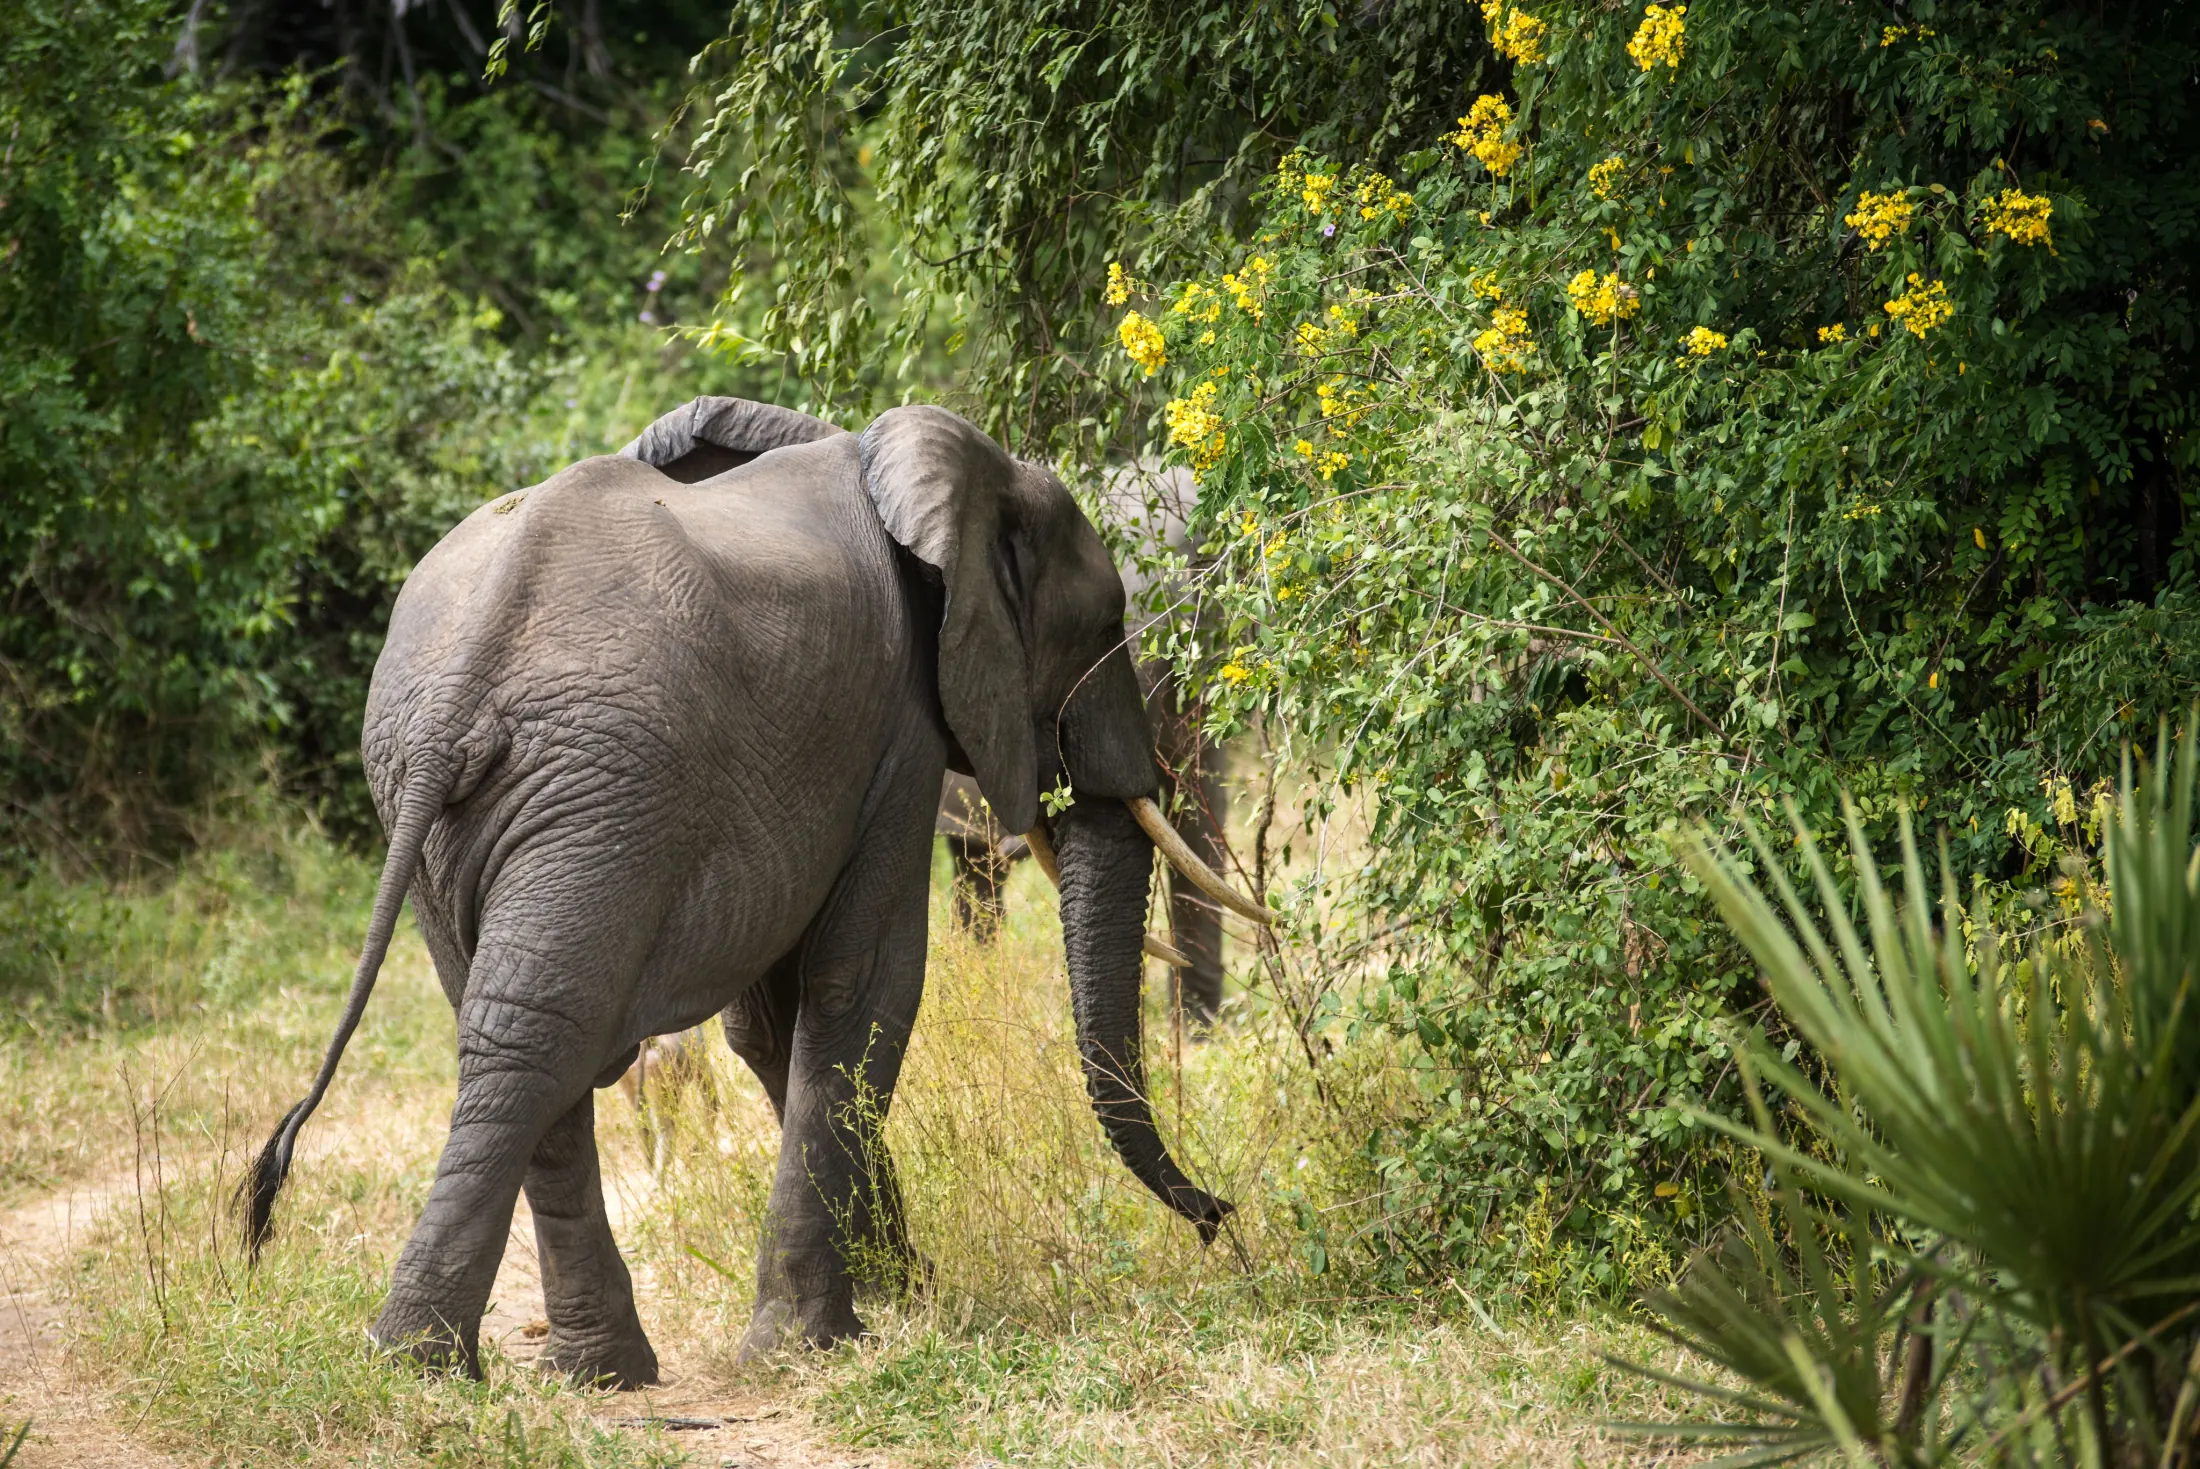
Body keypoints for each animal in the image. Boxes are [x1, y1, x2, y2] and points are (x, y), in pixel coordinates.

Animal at [241, 395, 1272, 1387]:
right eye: (1103, 629)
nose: (1220, 1216)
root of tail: (460, 683)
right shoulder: (895, 728)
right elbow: (864, 986)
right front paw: (822, 1342)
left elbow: (775, 1023)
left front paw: (892, 1293)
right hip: (606, 790)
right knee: (538, 1034)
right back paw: (437, 1368)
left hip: (467, 809)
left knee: (509, 1030)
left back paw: (583, 1373)